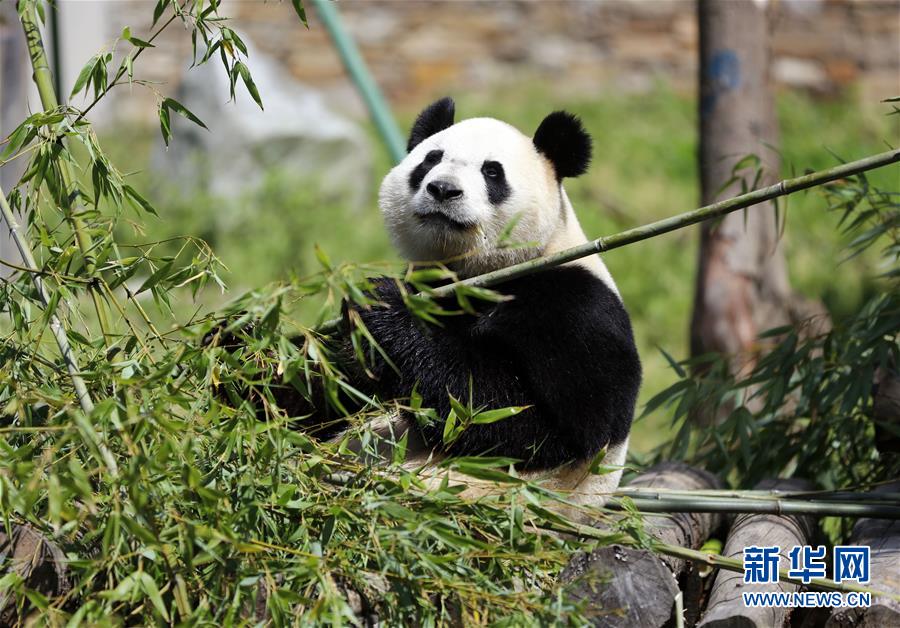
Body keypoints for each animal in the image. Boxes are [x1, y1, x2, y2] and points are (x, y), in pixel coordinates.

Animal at [225, 98, 644, 508]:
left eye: (492, 172)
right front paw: (238, 344)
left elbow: (531, 425)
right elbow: (320, 390)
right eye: (430, 159)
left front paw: (383, 306)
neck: (475, 272)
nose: (443, 189)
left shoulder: (573, 309)